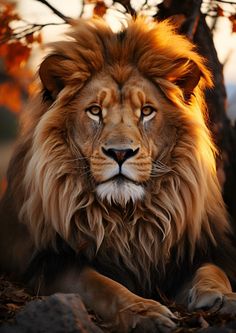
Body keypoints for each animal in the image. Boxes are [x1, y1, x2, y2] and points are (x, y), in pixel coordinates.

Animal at [0, 18, 236, 332]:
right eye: (95, 111)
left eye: (147, 111)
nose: (120, 153)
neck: (127, 218)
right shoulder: (48, 262)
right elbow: (100, 285)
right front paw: (145, 312)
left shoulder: (197, 251)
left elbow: (212, 271)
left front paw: (223, 298)